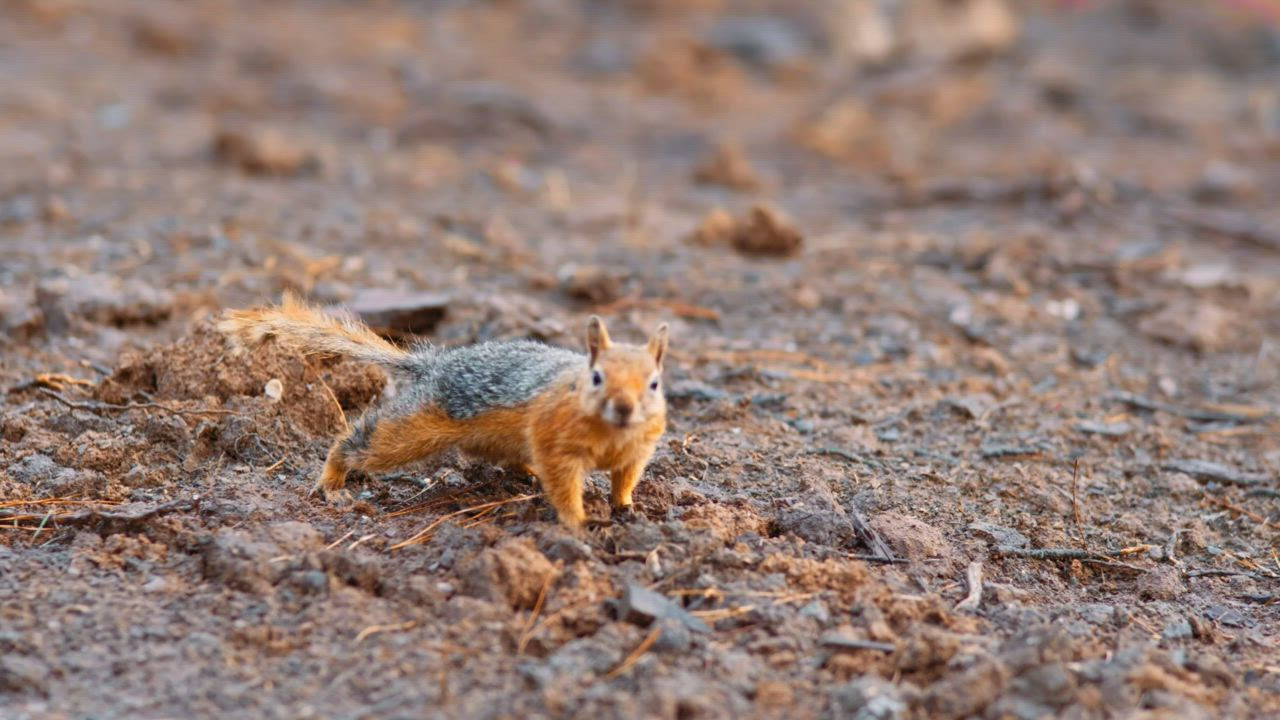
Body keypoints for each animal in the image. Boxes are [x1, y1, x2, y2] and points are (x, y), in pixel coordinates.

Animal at [217, 294, 669, 528]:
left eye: (654, 383)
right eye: (596, 377)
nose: (624, 408)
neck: (612, 432)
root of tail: (434, 366)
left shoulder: (637, 450)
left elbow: (625, 478)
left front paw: (626, 506)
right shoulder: (557, 444)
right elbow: (564, 486)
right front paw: (578, 523)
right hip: (414, 428)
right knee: (358, 443)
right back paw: (333, 480)